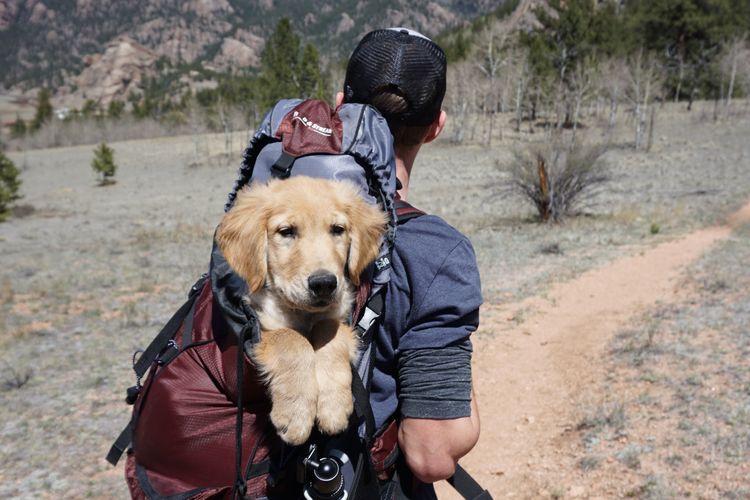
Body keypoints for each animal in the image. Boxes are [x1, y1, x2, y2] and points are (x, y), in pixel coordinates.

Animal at [214, 177, 384, 446]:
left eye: (337, 229)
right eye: (287, 232)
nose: (324, 283)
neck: (304, 313)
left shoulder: (339, 316)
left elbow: (329, 331)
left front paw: (333, 406)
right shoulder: (261, 325)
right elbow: (292, 339)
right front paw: (296, 414)